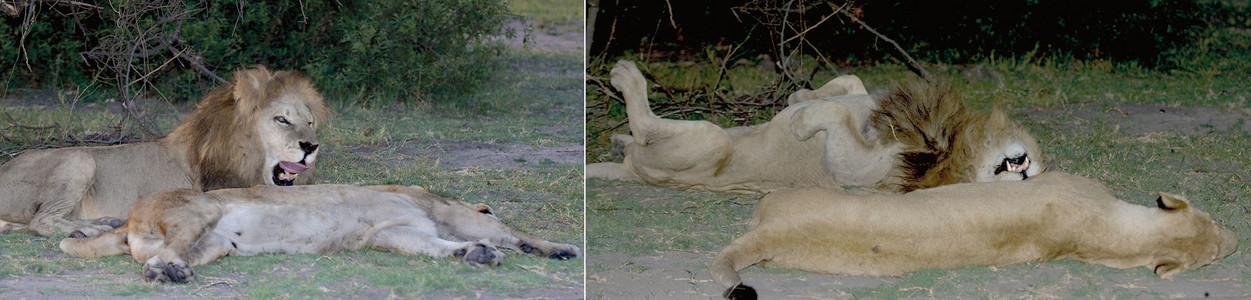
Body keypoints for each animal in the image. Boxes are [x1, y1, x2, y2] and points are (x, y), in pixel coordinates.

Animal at [0, 66, 327, 237]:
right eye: (281, 120)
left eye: (310, 122)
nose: (311, 146)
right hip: (80, 158)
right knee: (40, 221)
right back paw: (94, 230)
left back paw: (104, 223)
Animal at [585, 60, 1045, 195]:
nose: (1027, 173)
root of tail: (631, 170)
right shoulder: (869, 101)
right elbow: (851, 85)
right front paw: (799, 97)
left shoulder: (857, 171)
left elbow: (835, 117)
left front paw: (802, 119)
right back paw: (616, 139)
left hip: (710, 141)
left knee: (648, 127)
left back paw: (626, 78)